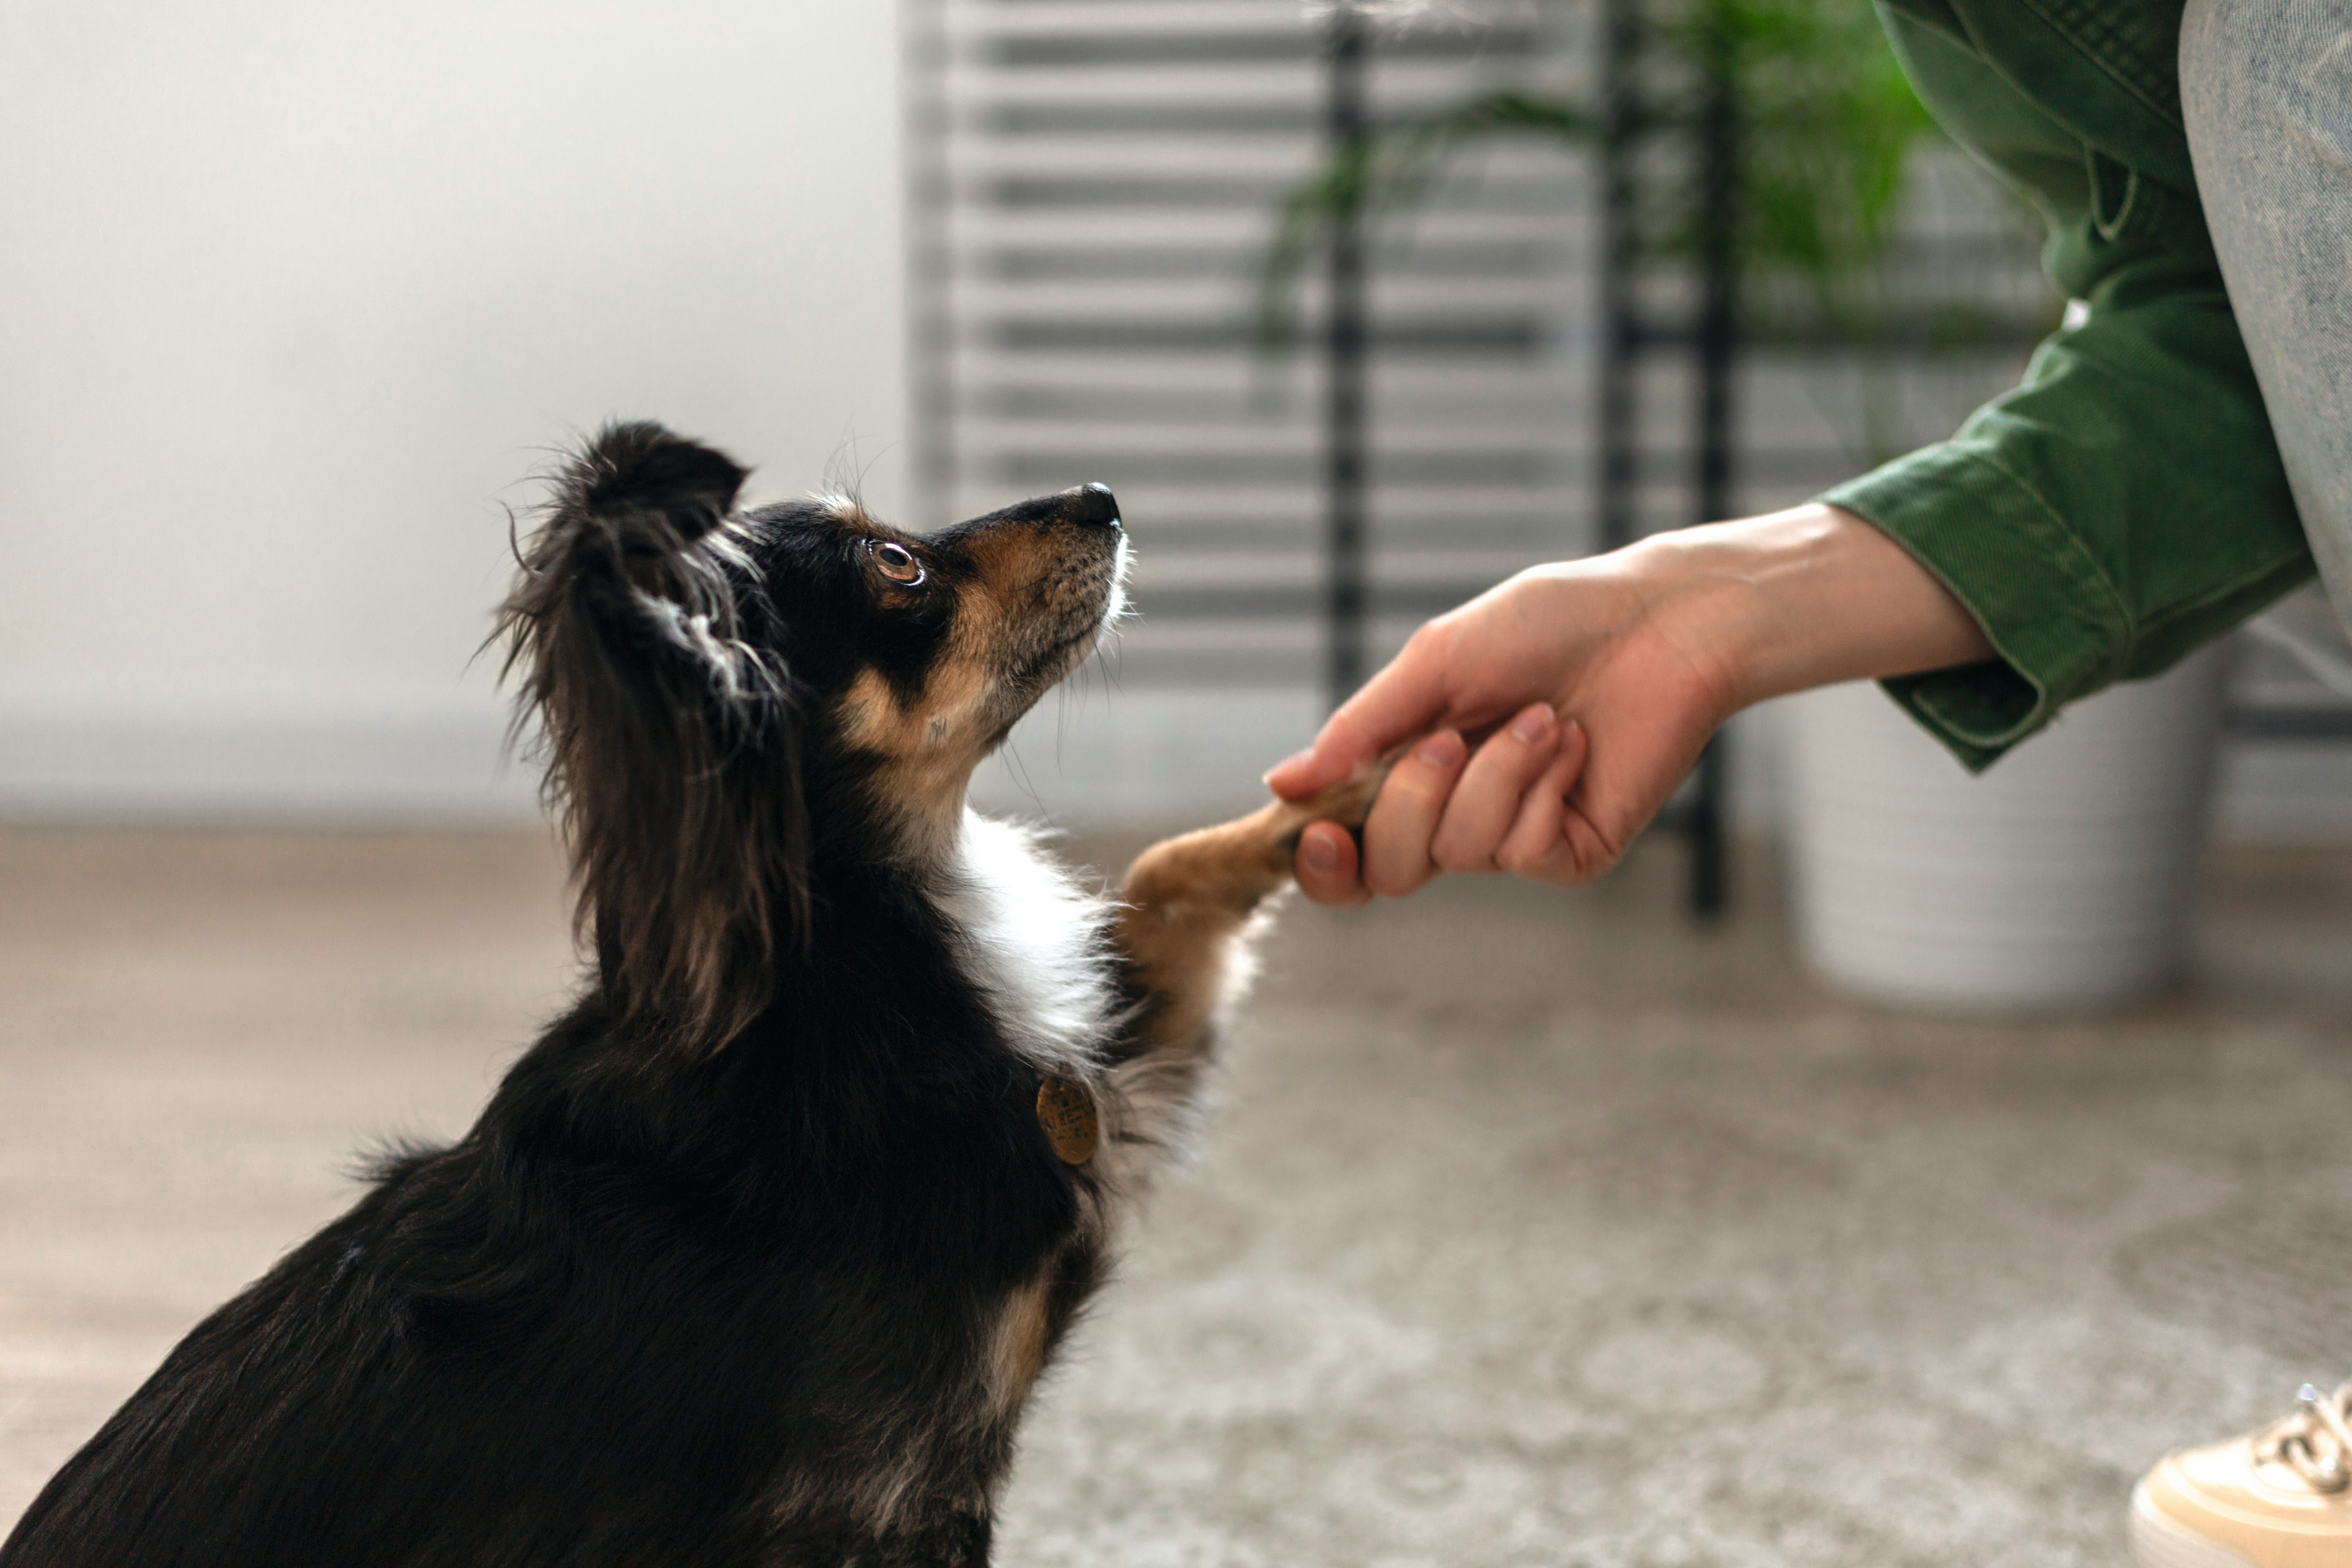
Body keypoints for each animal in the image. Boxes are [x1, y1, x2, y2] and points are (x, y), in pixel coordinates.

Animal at [0, 421, 1373, 1568]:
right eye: (896, 566)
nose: (1102, 495)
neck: (849, 962)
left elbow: (1166, 876)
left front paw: (1337, 791)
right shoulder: (889, 1495)